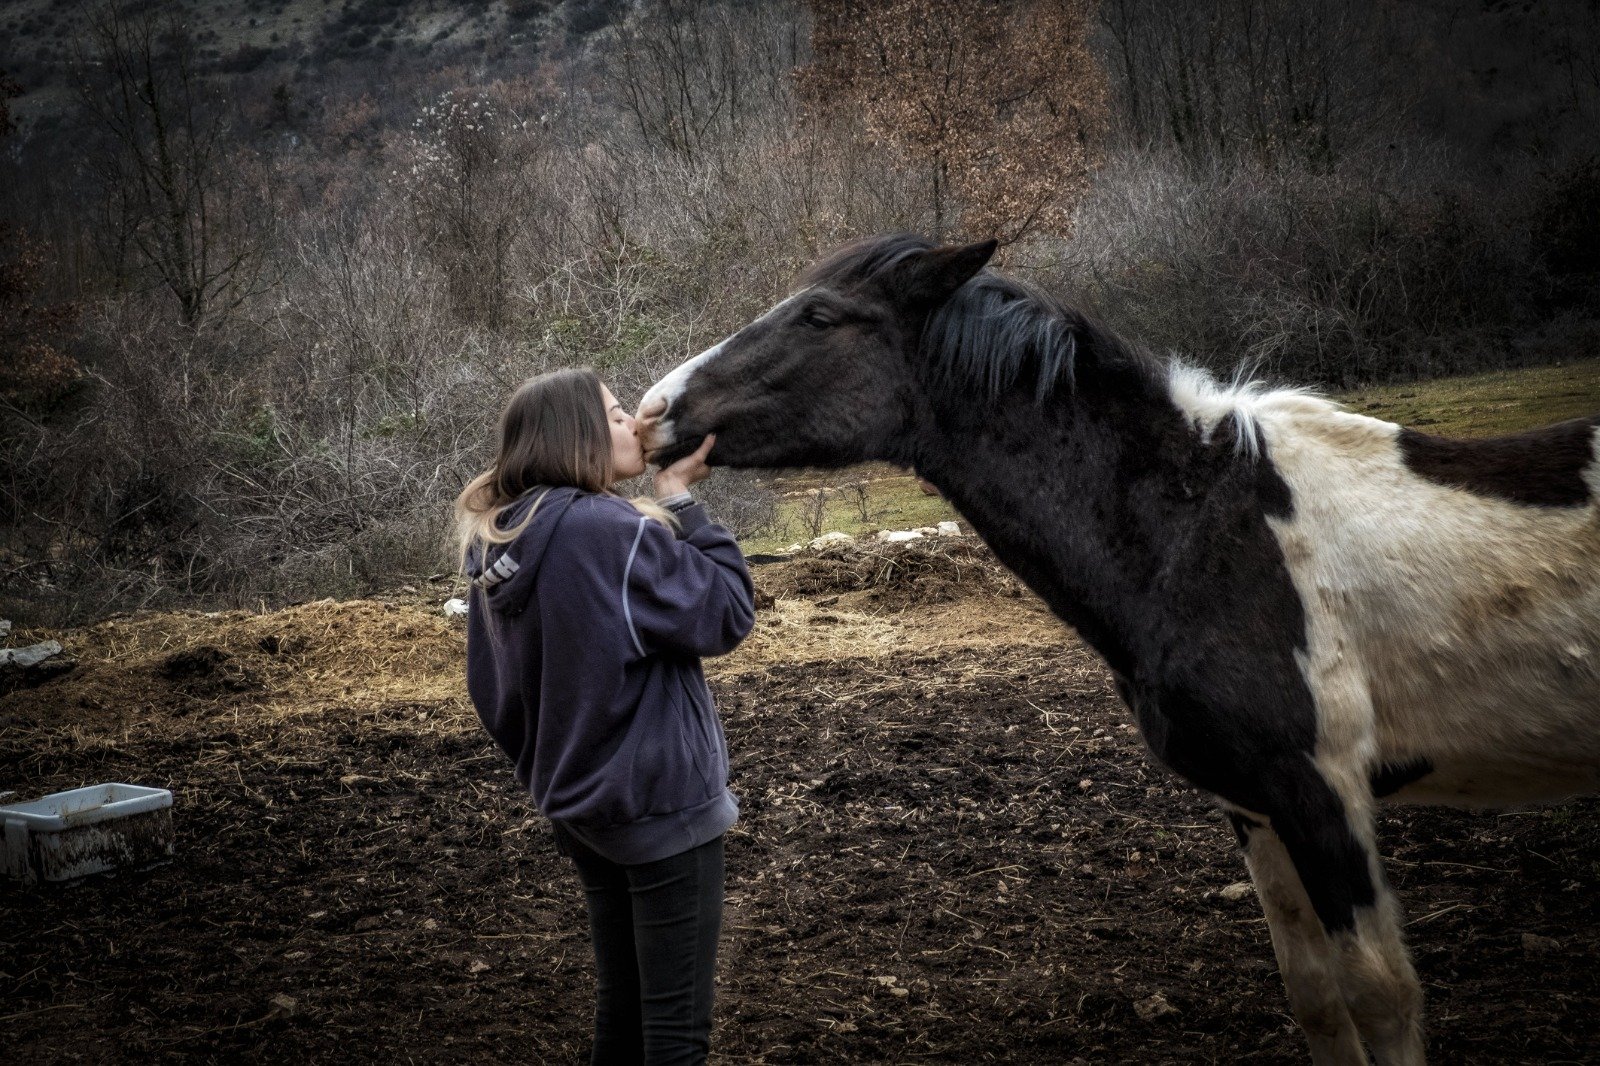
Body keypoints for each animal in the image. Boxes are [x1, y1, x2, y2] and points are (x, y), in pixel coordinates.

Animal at [633, 235, 1600, 1062]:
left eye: (821, 316)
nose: (651, 410)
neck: (1203, 529)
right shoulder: (1257, 806)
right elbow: (1318, 998)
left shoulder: (1324, 792)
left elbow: (1381, 995)